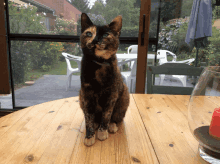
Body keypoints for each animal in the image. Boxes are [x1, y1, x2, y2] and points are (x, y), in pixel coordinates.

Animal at [79, 13, 130, 146]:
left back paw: (111, 126)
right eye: (89, 33)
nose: (95, 40)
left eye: (106, 34)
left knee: (116, 118)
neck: (98, 65)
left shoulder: (111, 95)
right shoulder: (86, 95)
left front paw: (102, 132)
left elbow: (107, 115)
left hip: (124, 95)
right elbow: (88, 117)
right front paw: (90, 136)